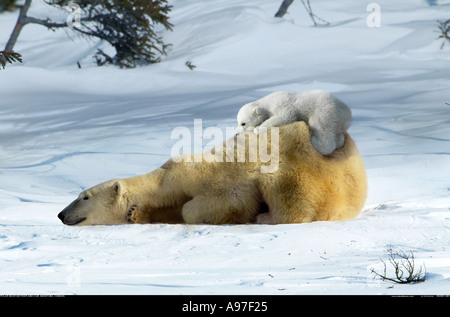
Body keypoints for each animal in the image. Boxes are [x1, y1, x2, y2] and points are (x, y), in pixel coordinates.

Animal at [58, 121, 366, 225]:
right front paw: (136, 214)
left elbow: (222, 201)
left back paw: (267, 216)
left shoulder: (207, 174)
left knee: (291, 195)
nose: (61, 214)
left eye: (84, 197)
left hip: (313, 175)